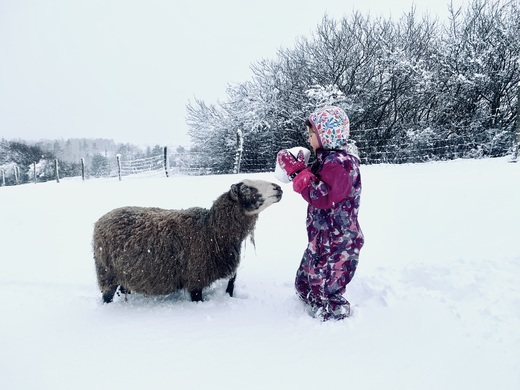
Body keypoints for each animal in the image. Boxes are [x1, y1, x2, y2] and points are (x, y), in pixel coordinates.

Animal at [91, 180, 282, 304]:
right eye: (246, 188)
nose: (279, 187)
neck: (211, 230)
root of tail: (100, 220)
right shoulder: (196, 278)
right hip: (106, 272)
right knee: (107, 296)